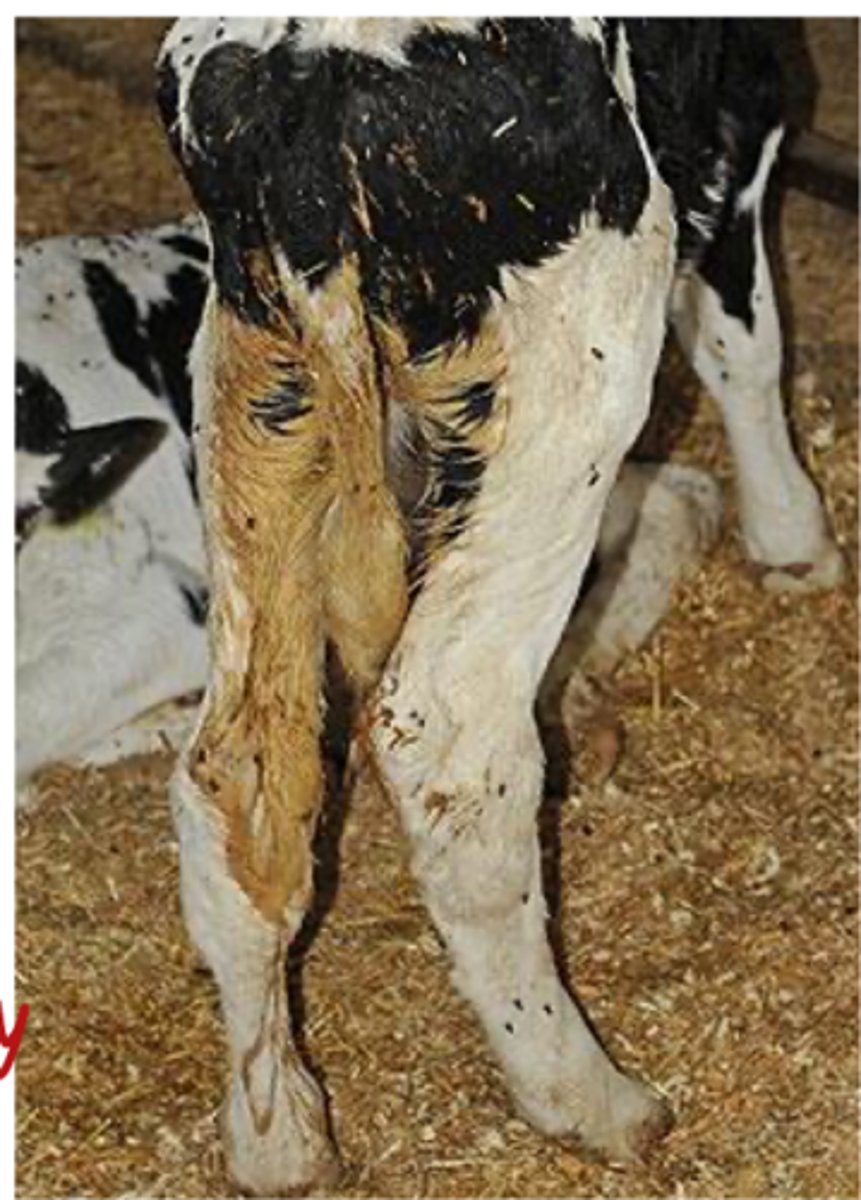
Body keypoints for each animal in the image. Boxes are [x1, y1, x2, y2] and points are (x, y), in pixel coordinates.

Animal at [153, 16, 845, 1193]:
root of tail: (298, 74)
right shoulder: (740, 111)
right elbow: (742, 339)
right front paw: (794, 537)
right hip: (569, 366)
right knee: (452, 743)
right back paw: (588, 1096)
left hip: (256, 388)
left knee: (241, 766)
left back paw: (276, 1132)